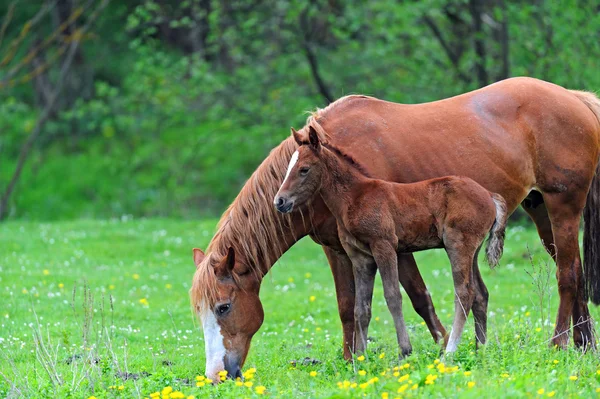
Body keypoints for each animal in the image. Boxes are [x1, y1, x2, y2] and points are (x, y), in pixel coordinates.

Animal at [276, 126, 506, 354]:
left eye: (304, 169)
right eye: (288, 169)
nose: (279, 201)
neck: (354, 198)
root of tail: (489, 194)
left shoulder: (383, 246)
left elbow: (393, 296)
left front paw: (405, 350)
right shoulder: (361, 257)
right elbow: (361, 307)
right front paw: (360, 356)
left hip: (457, 245)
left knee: (464, 293)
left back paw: (449, 352)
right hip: (472, 250)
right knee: (480, 294)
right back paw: (480, 350)